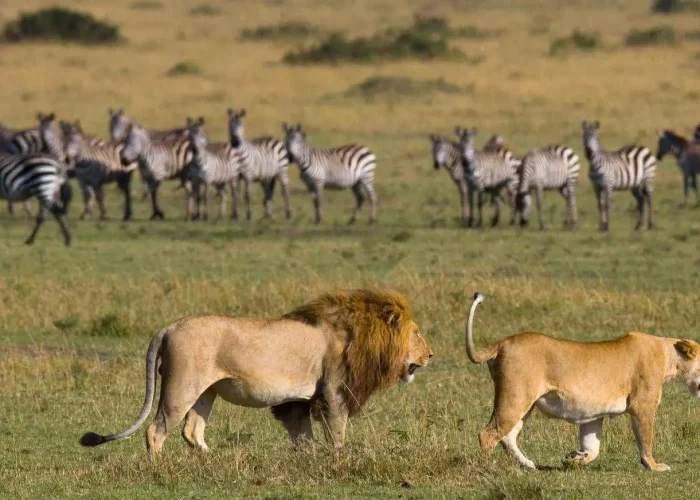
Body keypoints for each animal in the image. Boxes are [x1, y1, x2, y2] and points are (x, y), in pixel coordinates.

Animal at [80, 289, 432, 455]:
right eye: (417, 333)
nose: (431, 354)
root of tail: (169, 327)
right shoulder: (334, 390)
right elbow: (337, 430)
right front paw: (339, 457)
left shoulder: (299, 400)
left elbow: (302, 434)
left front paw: (308, 458)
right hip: (181, 388)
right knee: (156, 431)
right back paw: (158, 468)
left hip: (206, 392)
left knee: (192, 431)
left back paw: (213, 461)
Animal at [465, 292, 700, 471]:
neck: (668, 356)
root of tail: (502, 342)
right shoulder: (643, 405)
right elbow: (646, 438)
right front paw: (654, 465)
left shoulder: (593, 414)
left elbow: (593, 446)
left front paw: (576, 457)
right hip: (515, 397)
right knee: (488, 434)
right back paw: (487, 468)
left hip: (525, 403)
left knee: (508, 436)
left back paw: (529, 465)